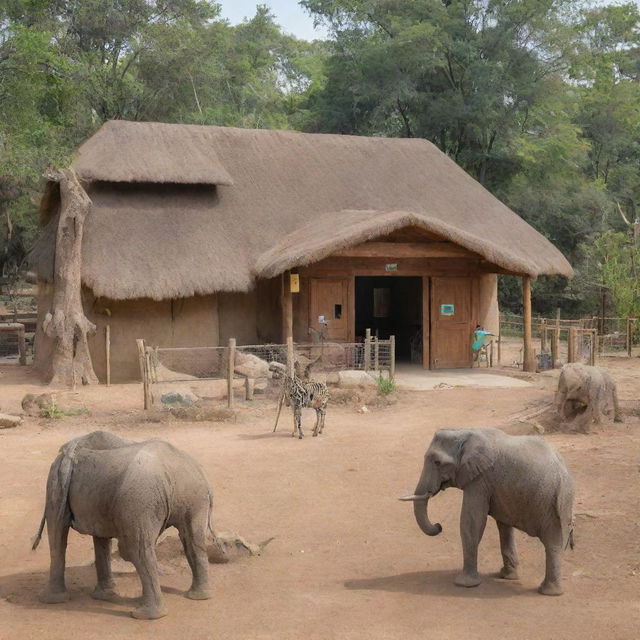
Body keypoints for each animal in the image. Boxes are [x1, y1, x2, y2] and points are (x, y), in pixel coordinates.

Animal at [32, 432, 216, 616]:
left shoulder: (55, 483)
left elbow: (58, 532)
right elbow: (100, 537)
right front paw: (105, 596)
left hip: (141, 497)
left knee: (137, 548)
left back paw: (145, 614)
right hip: (190, 495)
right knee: (192, 539)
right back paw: (198, 597)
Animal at [400, 428, 576, 596]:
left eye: (437, 462)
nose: (438, 526)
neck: (464, 432)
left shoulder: (479, 480)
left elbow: (472, 522)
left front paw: (464, 584)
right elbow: (503, 526)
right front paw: (506, 576)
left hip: (552, 504)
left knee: (552, 544)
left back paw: (549, 592)